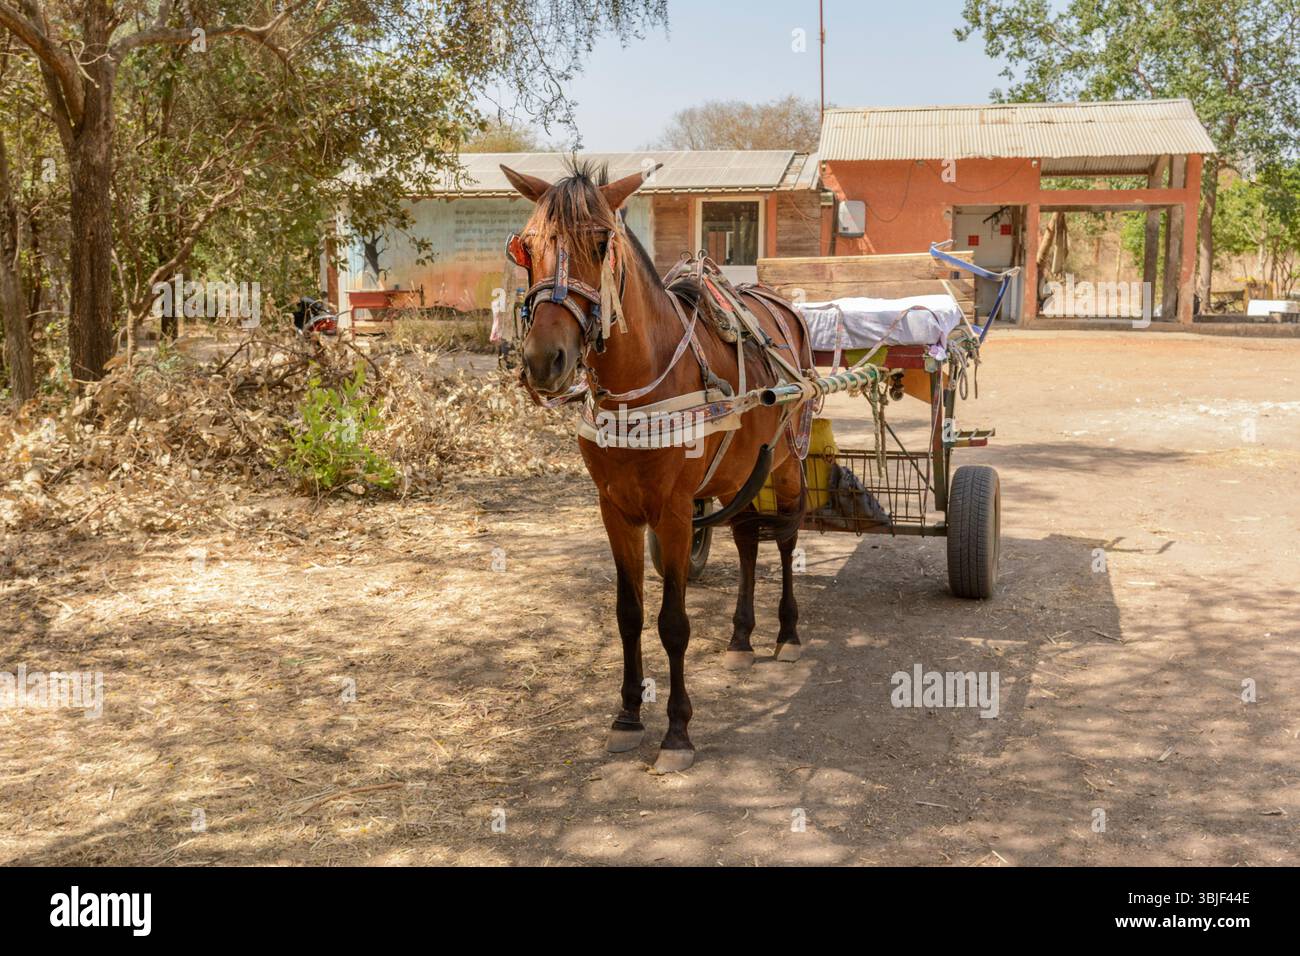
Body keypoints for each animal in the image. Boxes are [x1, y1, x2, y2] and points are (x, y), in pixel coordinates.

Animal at [502, 160, 813, 773]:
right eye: (525, 246)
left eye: (601, 243)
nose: (544, 360)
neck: (638, 390)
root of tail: (777, 303)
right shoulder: (614, 509)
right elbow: (629, 613)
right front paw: (627, 716)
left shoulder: (672, 512)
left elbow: (672, 622)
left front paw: (677, 731)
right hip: (739, 471)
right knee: (747, 537)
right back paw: (742, 638)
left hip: (788, 460)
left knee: (786, 538)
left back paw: (786, 634)